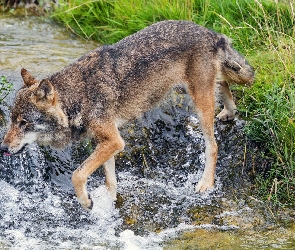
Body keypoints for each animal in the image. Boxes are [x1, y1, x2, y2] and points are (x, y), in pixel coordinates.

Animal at [0, 20, 254, 210]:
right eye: (11, 121)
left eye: (24, 123)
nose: (2, 148)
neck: (78, 96)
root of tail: (211, 33)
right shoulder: (106, 142)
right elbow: (109, 180)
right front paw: (108, 202)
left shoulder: (113, 141)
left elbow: (77, 175)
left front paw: (86, 202)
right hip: (185, 89)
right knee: (222, 84)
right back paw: (229, 112)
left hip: (199, 105)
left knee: (213, 145)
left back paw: (205, 183)